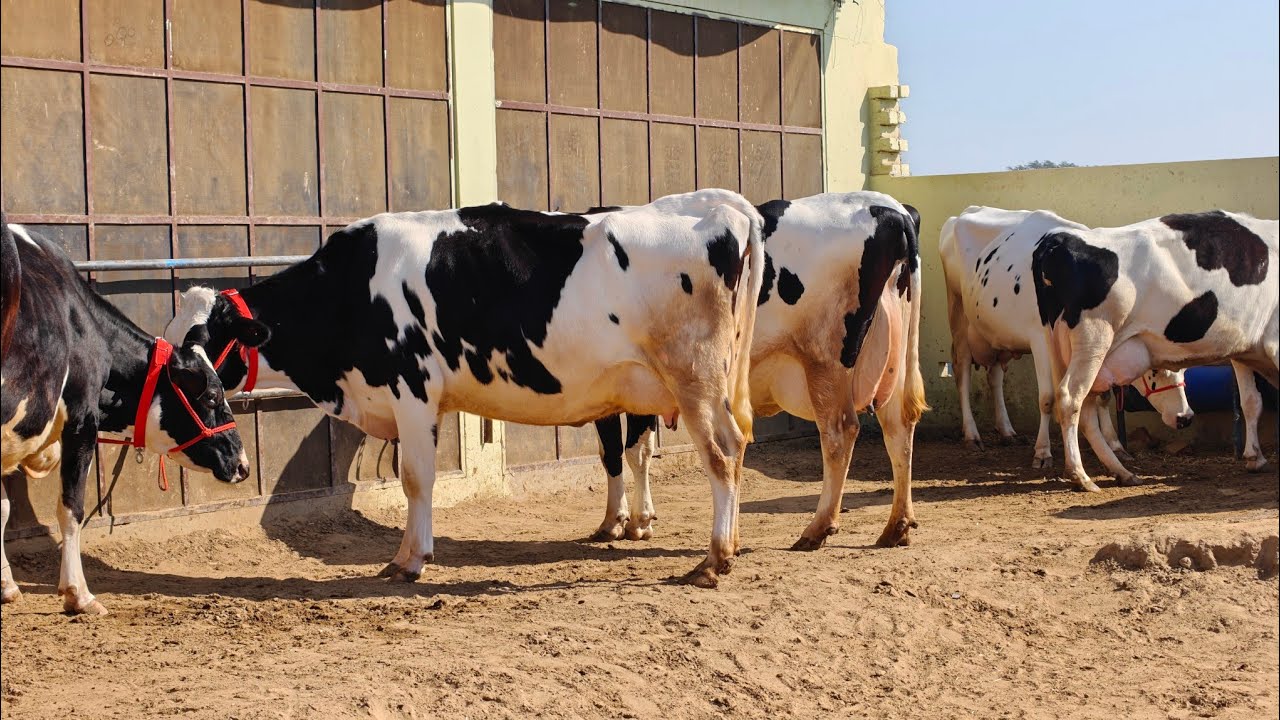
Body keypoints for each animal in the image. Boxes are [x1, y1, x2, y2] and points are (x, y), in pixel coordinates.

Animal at [1, 218, 250, 615]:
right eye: (212, 396)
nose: (243, 464)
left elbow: (3, 508)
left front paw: (7, 586)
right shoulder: (82, 421)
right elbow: (71, 508)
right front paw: (79, 594)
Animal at [164, 191, 765, 588]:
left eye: (196, 353)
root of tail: (718, 205)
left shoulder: (412, 389)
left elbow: (415, 479)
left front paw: (409, 560)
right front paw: (409, 554)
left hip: (694, 379)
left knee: (722, 454)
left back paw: (714, 559)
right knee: (720, 450)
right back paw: (720, 546)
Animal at [588, 192, 927, 551]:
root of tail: (890, 208)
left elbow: (623, 451)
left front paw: (623, 522)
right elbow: (632, 449)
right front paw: (635, 519)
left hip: (826, 360)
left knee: (840, 431)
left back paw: (817, 528)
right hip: (893, 359)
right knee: (898, 427)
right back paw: (896, 527)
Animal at [941, 206, 1195, 480]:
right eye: (1155, 369)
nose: (1185, 417)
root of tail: (965, 212)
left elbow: (1102, 396)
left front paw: (1115, 445)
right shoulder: (1040, 340)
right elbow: (1048, 398)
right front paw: (1043, 453)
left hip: (997, 335)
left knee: (995, 376)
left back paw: (1007, 431)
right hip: (958, 316)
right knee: (962, 373)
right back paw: (972, 435)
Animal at [1026, 209, 1277, 491]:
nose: (1185, 418)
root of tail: (1058, 241)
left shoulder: (1245, 351)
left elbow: (1251, 401)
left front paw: (1255, 458)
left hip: (1059, 346)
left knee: (1085, 407)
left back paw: (1122, 472)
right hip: (1093, 340)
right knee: (1070, 398)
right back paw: (1081, 476)